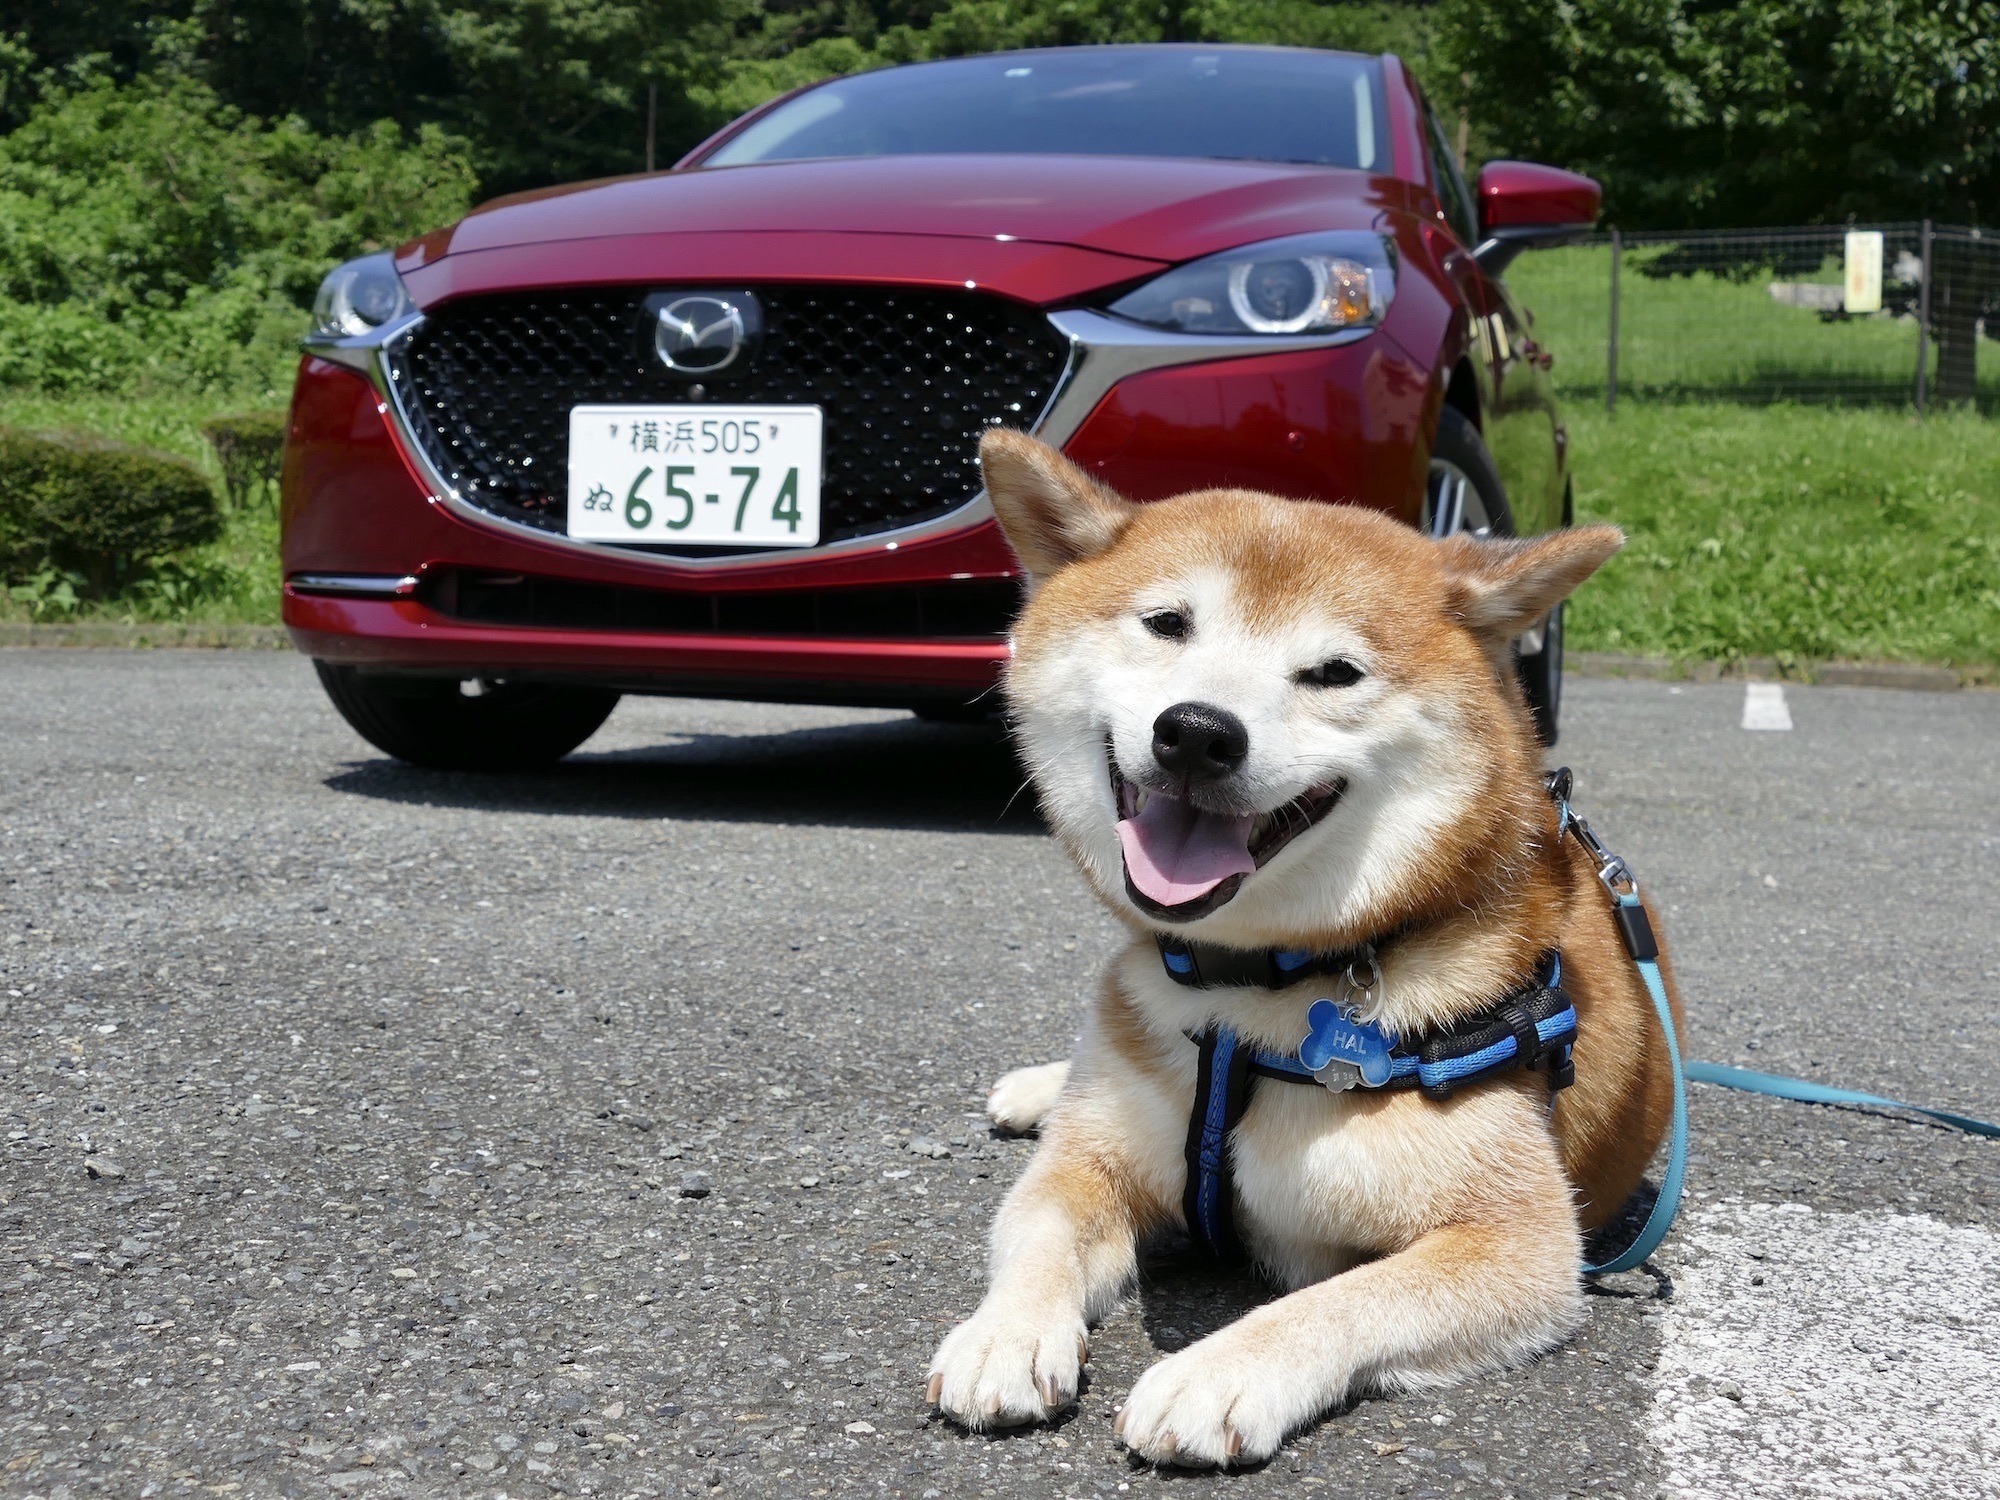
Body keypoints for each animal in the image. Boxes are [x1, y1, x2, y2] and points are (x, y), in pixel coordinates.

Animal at [928, 428, 1680, 1472]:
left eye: (1334, 673)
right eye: (1167, 623)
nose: (1198, 733)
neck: (1253, 990)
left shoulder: (1518, 1244)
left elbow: (1344, 1297)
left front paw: (1216, 1371)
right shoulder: (1090, 1165)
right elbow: (1033, 1226)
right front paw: (1004, 1334)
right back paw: (1040, 1087)